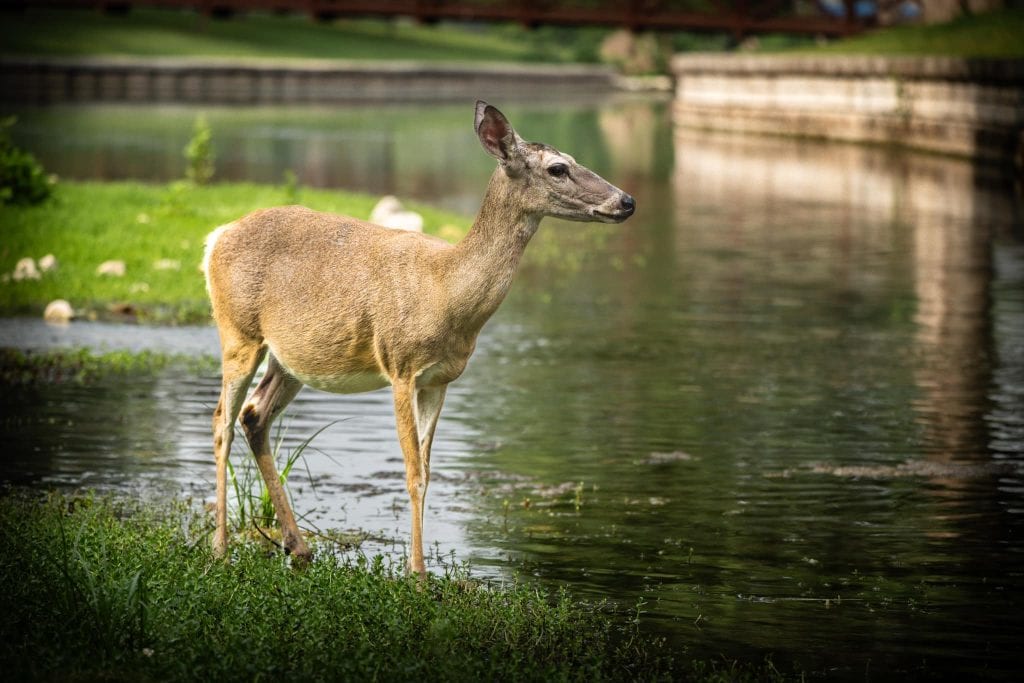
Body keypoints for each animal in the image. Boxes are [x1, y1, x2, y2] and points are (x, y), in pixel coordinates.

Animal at [203, 101, 635, 577]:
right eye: (558, 168)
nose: (627, 200)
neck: (445, 290)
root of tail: (215, 238)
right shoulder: (400, 365)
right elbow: (411, 472)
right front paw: (418, 575)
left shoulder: (440, 379)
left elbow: (428, 472)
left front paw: (420, 569)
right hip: (238, 331)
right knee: (222, 420)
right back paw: (220, 549)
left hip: (290, 357)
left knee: (254, 415)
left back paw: (298, 547)